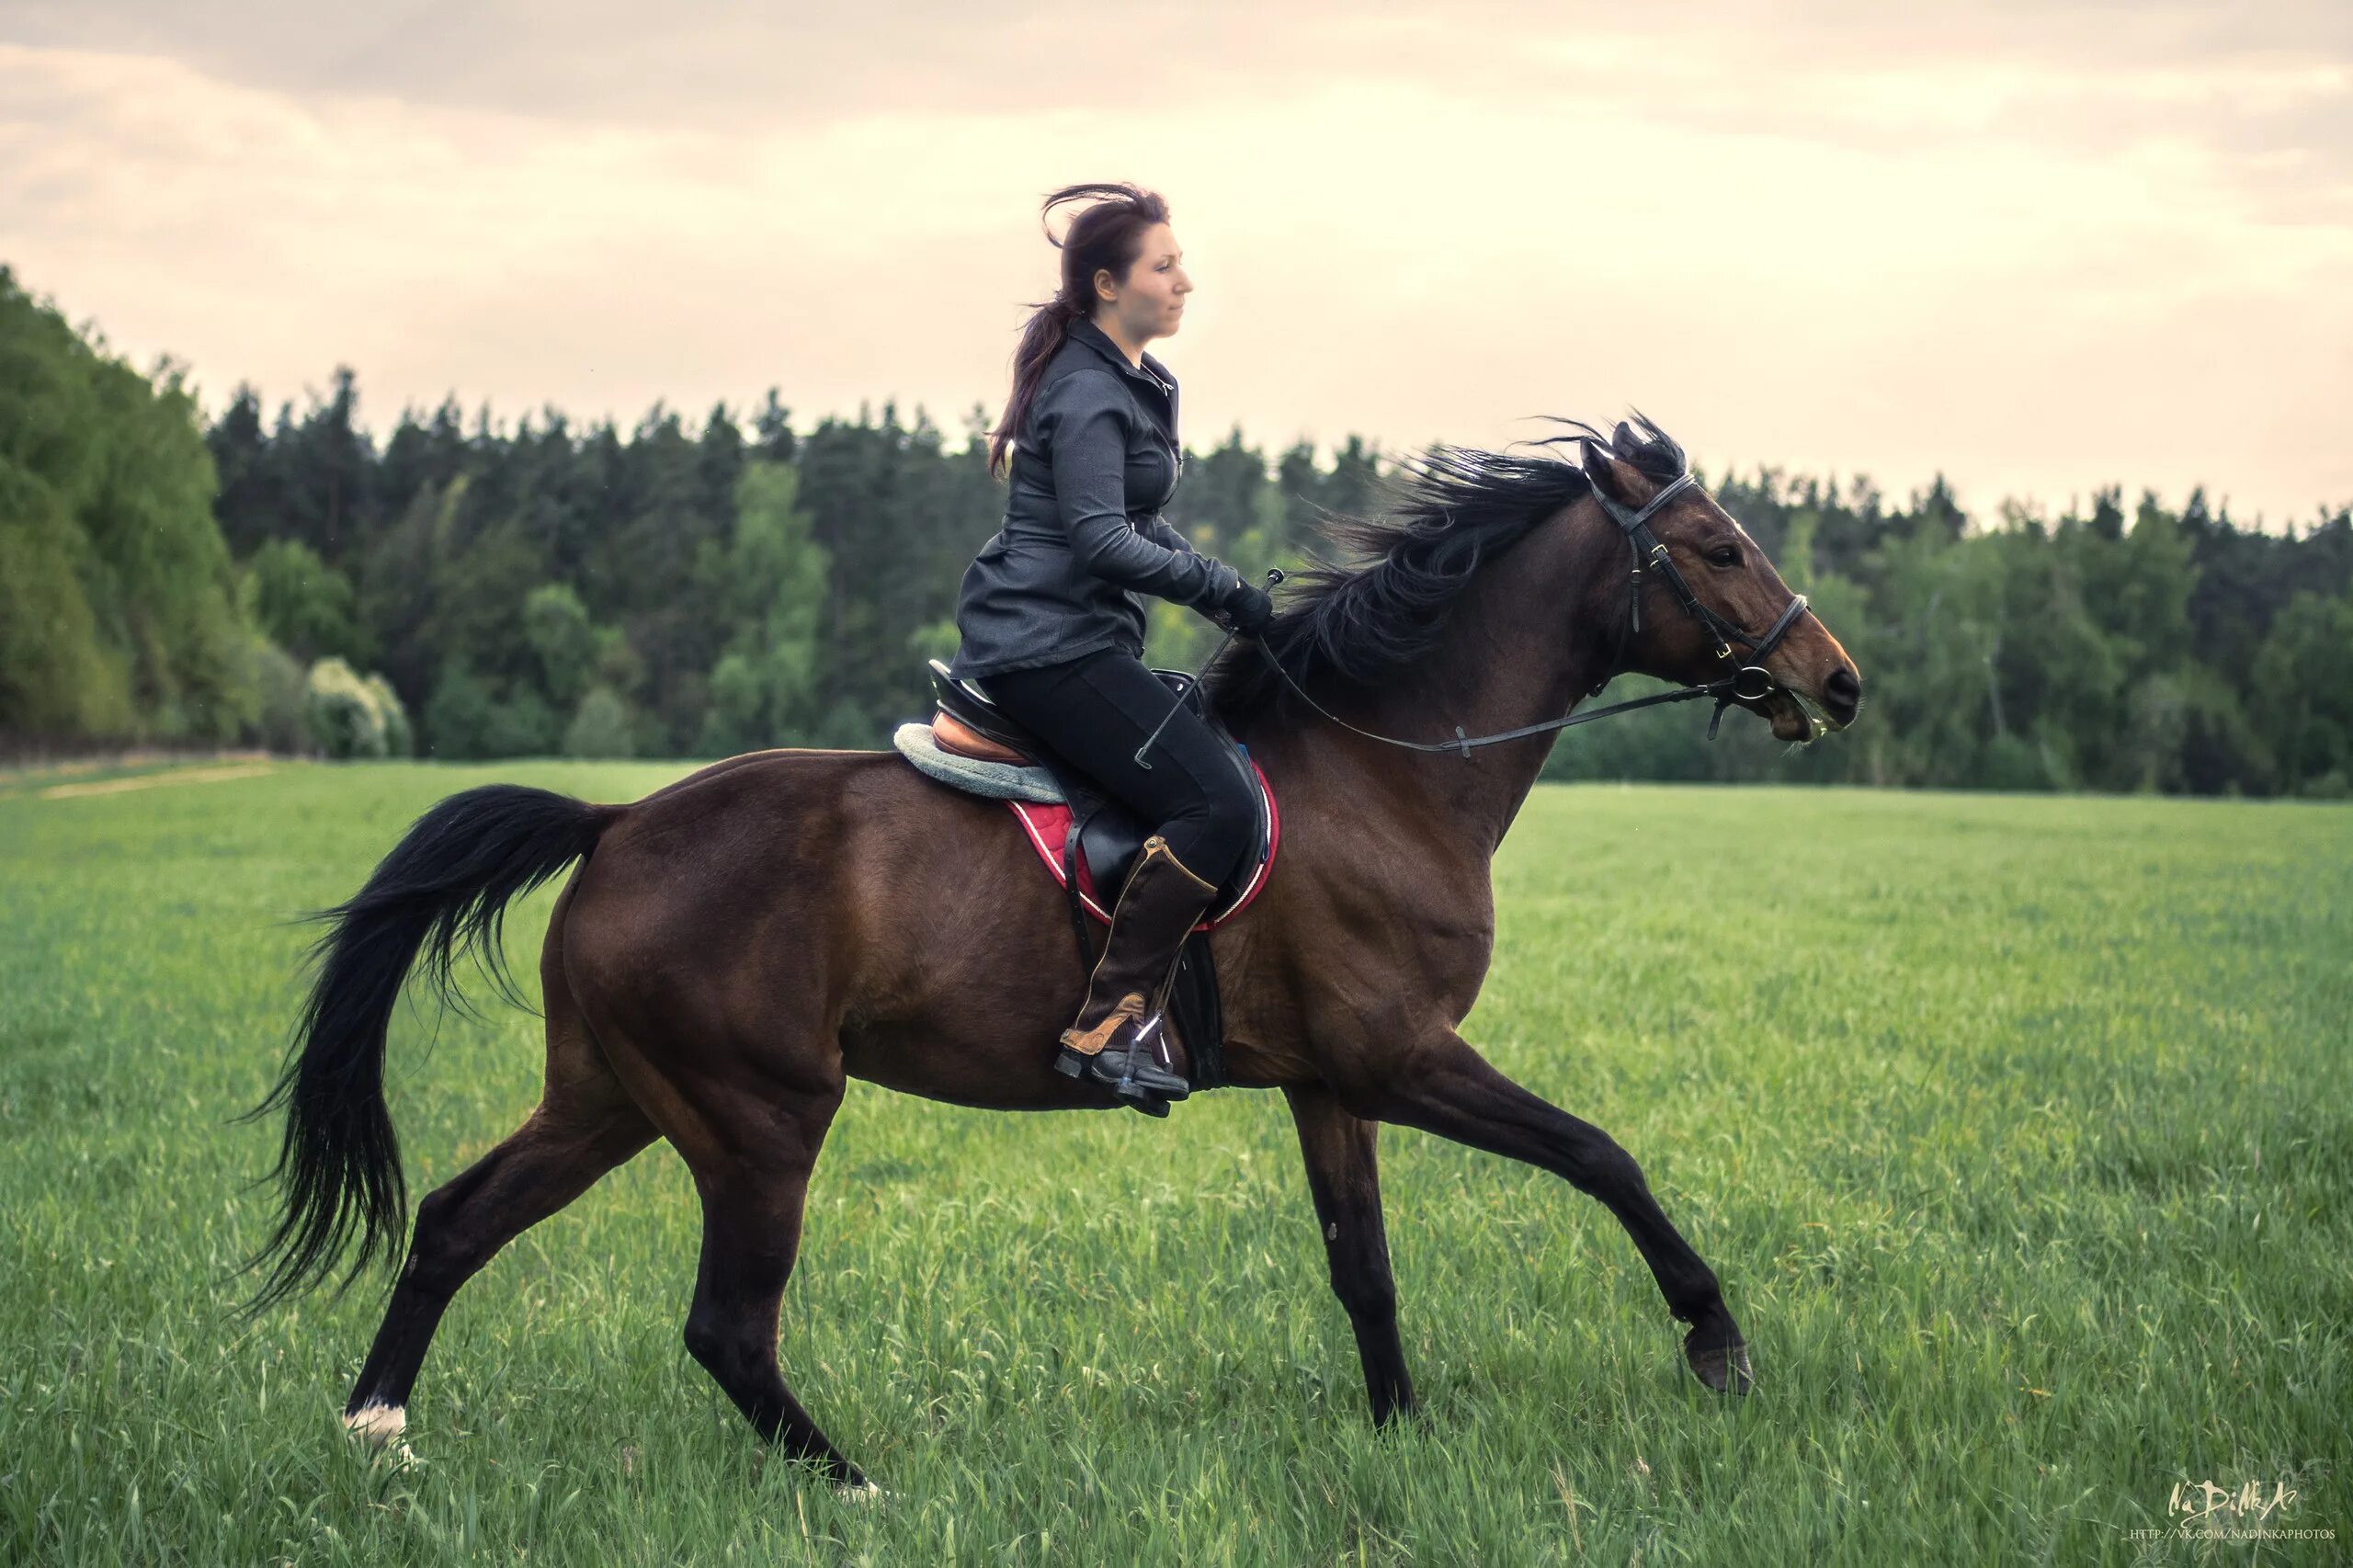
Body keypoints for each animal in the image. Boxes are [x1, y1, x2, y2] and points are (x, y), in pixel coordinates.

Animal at [238, 409, 1854, 1487]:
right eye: (1716, 546)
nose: (1836, 680)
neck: (1383, 769)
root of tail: (620, 819)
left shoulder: (1332, 1080)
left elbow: (1366, 1269)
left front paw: (1400, 1434)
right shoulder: (1403, 1053)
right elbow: (1599, 1154)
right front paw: (1715, 1340)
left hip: (616, 1096)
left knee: (454, 1220)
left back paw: (376, 1430)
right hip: (760, 1118)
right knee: (726, 1327)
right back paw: (856, 1486)